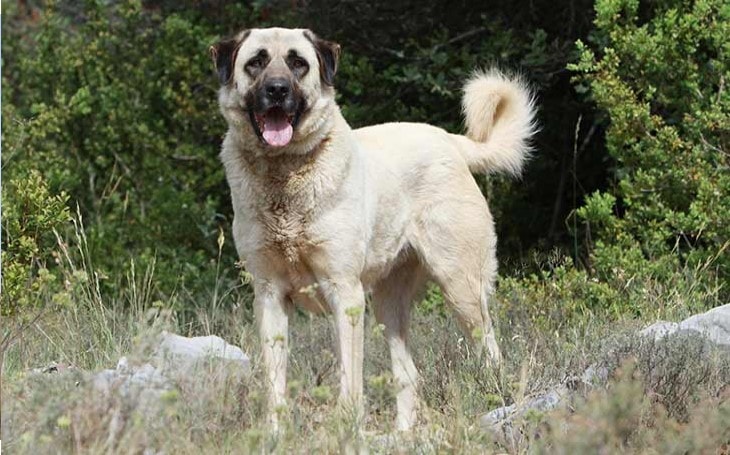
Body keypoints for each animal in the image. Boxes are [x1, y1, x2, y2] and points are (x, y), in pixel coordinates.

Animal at [210, 26, 536, 432]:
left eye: (298, 63)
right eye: (256, 62)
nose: (277, 90)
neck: (284, 176)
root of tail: (449, 139)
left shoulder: (344, 294)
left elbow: (350, 379)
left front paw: (346, 430)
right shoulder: (269, 296)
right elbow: (275, 385)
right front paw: (275, 433)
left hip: (461, 288)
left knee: (490, 350)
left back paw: (500, 404)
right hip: (387, 304)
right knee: (408, 373)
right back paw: (403, 435)